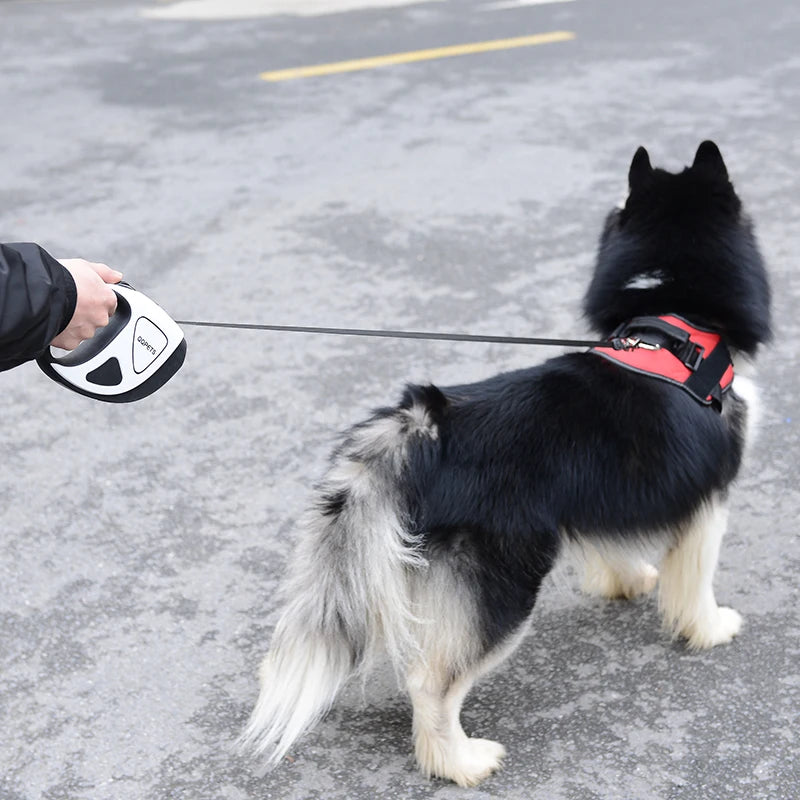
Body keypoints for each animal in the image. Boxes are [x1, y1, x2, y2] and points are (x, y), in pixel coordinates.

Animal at [241, 144, 772, 788]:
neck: (670, 321)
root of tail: (421, 427)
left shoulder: (598, 498)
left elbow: (611, 546)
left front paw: (628, 581)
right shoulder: (708, 501)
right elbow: (695, 579)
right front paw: (710, 627)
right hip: (503, 586)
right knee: (432, 683)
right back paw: (460, 762)